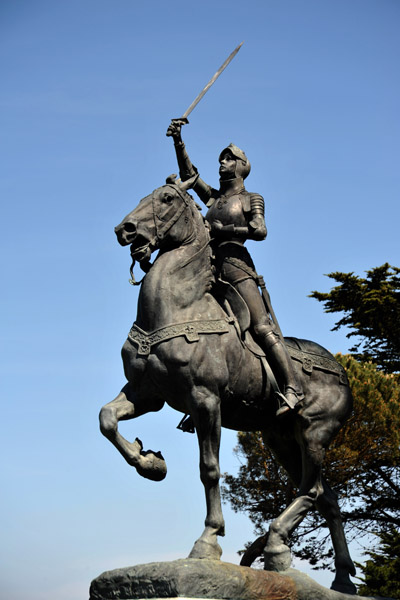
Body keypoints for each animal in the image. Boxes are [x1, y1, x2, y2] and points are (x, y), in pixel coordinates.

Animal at [99, 176, 356, 592]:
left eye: (166, 198)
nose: (126, 230)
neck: (176, 307)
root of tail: (343, 372)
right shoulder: (146, 394)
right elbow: (107, 419)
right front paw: (151, 464)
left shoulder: (205, 400)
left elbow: (209, 468)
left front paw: (207, 541)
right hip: (282, 440)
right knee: (327, 497)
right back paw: (341, 577)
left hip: (315, 432)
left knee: (314, 490)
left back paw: (278, 543)